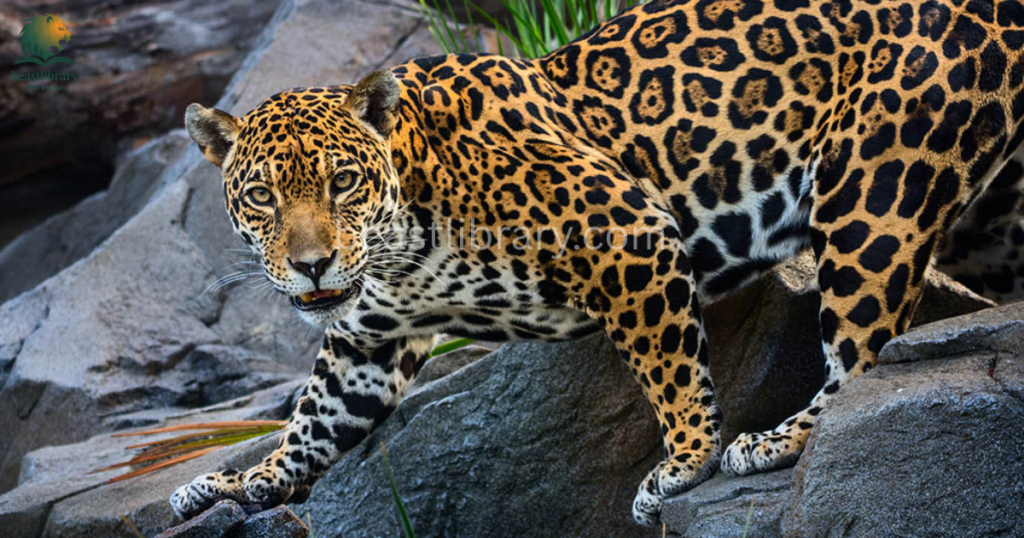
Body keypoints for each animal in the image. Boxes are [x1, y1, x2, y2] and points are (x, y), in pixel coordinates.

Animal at [172, 0, 1024, 526]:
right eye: (262, 196)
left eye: (342, 182)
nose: (313, 266)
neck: (401, 235)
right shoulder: (369, 341)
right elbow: (314, 417)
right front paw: (242, 480)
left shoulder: (630, 237)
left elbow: (670, 371)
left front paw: (683, 465)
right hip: (992, 220)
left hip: (876, 188)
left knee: (863, 354)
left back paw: (776, 441)